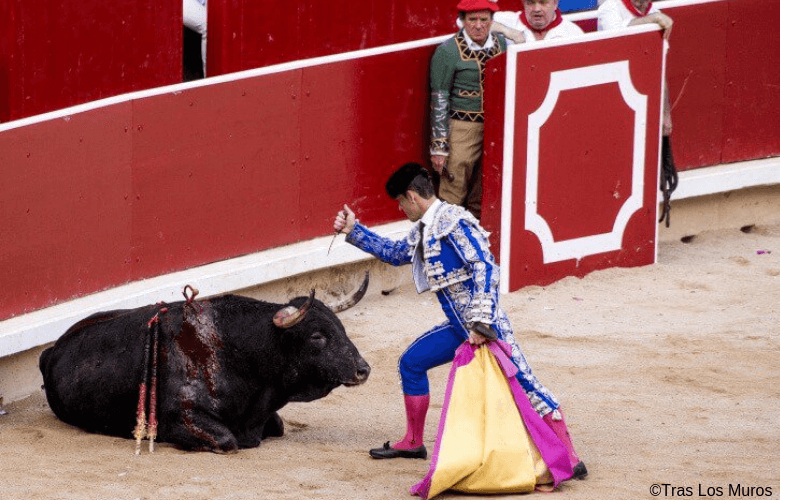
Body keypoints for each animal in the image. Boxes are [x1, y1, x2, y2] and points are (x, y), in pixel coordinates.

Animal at [39, 274, 370, 454]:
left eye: (340, 328)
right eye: (317, 336)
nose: (363, 369)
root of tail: (51, 351)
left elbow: (277, 426)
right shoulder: (182, 418)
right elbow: (226, 440)